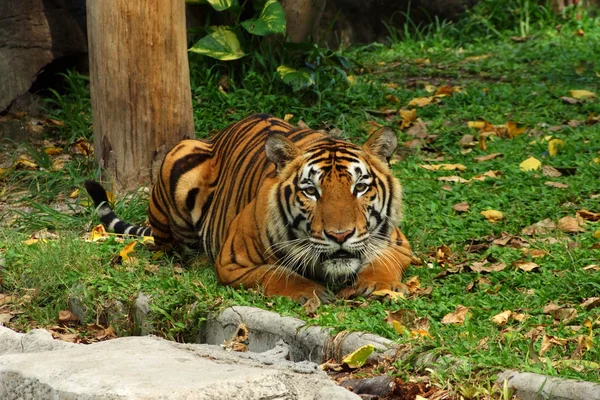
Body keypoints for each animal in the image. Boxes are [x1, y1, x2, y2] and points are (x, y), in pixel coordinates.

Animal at [84, 114, 412, 302]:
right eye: (311, 191)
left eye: (360, 187)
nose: (340, 236)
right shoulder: (233, 262)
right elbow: (277, 274)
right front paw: (310, 291)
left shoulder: (399, 244)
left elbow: (382, 262)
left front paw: (378, 285)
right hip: (178, 157)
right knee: (168, 246)